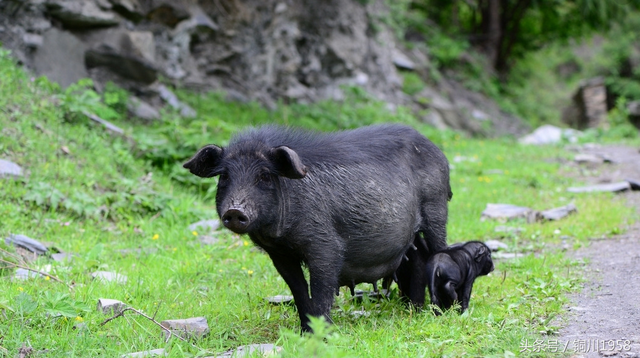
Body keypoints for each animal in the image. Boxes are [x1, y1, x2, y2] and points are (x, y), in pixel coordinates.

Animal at [181, 124, 450, 332]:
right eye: (225, 176)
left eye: (265, 176)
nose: (235, 210)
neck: (280, 235)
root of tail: (436, 149)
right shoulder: (280, 255)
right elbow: (299, 291)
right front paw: (304, 332)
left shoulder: (325, 245)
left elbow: (321, 290)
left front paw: (322, 334)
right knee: (418, 258)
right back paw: (414, 309)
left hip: (437, 207)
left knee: (438, 250)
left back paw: (439, 310)